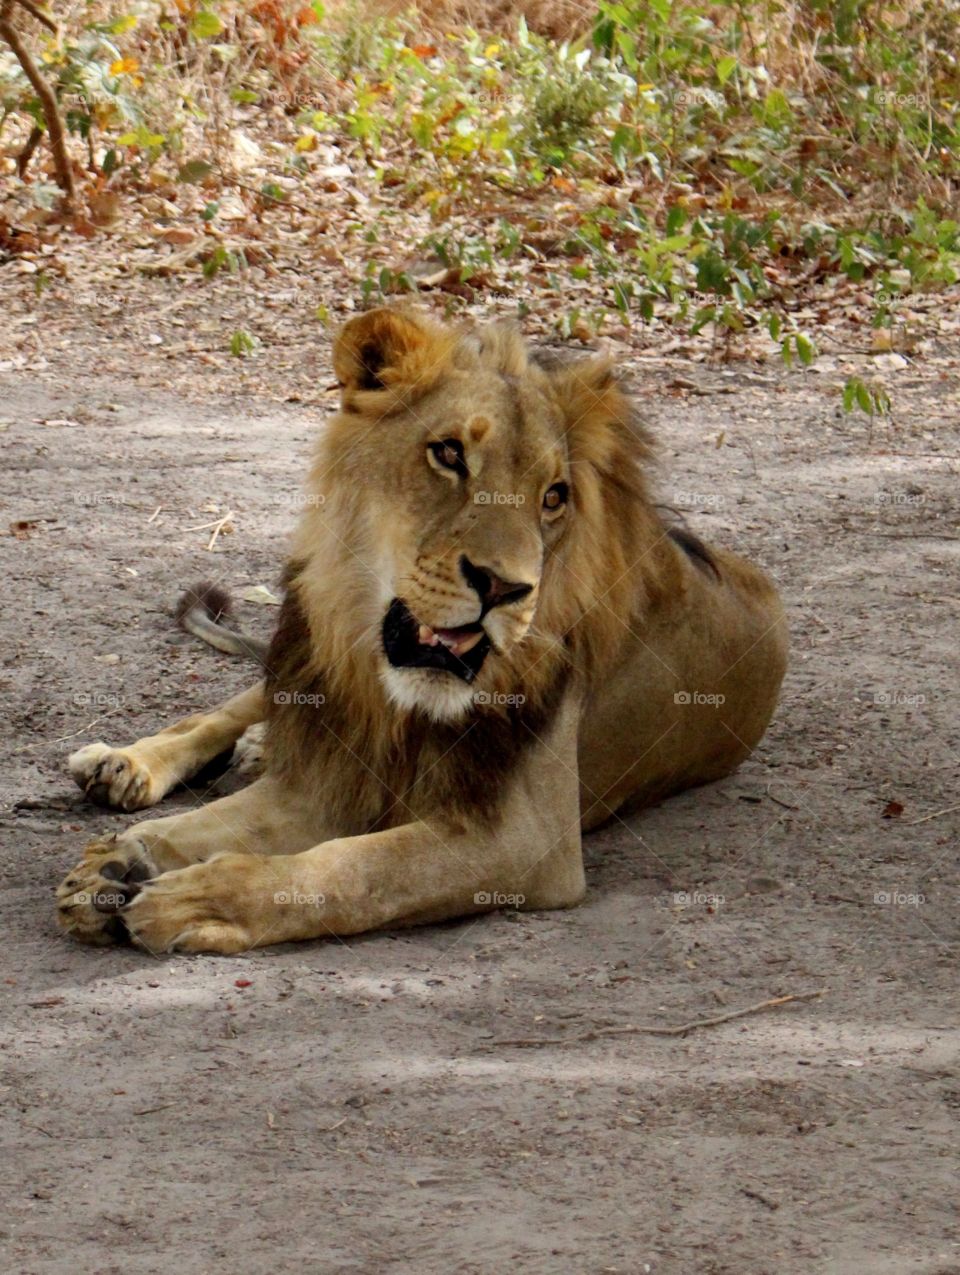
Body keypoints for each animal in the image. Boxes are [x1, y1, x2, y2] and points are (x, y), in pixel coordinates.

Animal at [56, 307, 787, 954]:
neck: (395, 707)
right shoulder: (327, 774)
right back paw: (125, 764)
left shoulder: (526, 839)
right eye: (448, 454)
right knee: (227, 709)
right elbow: (209, 822)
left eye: (554, 496)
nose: (505, 588)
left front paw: (195, 898)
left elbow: (352, 870)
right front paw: (117, 866)